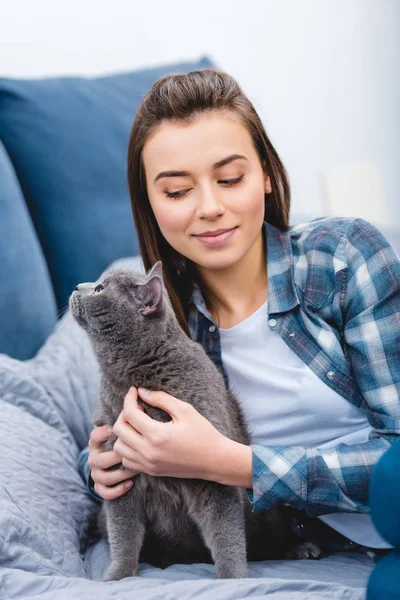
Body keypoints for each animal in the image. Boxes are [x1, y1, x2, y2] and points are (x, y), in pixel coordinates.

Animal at [68, 260, 318, 580]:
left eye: (100, 289)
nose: (77, 286)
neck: (137, 375)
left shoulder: (210, 473)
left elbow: (224, 532)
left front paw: (234, 579)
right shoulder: (117, 468)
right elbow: (123, 532)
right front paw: (117, 576)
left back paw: (301, 548)